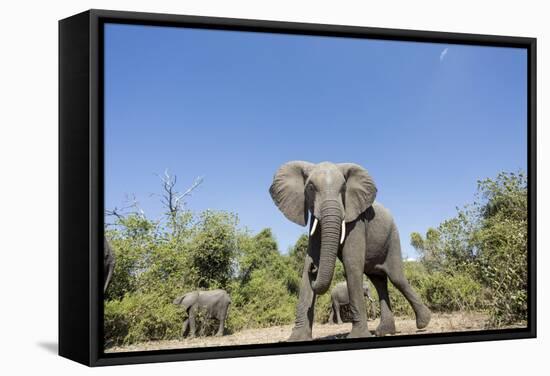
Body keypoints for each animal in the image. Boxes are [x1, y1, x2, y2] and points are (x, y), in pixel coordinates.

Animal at [270, 162, 434, 340]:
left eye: (343, 188)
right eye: (311, 188)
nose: (314, 268)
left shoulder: (357, 221)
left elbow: (352, 264)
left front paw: (358, 336)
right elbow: (308, 263)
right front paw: (297, 338)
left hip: (392, 237)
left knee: (397, 278)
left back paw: (423, 323)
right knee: (379, 281)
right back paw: (384, 331)